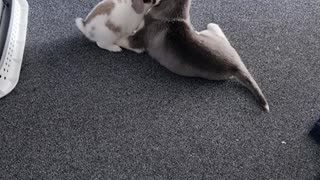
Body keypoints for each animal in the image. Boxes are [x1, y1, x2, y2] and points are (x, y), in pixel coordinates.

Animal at [117, 0, 270, 111]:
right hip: (219, 42)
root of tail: (236, 66)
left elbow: (124, 39)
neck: (174, 16)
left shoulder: (138, 42)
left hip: (210, 38)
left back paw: (211, 25)